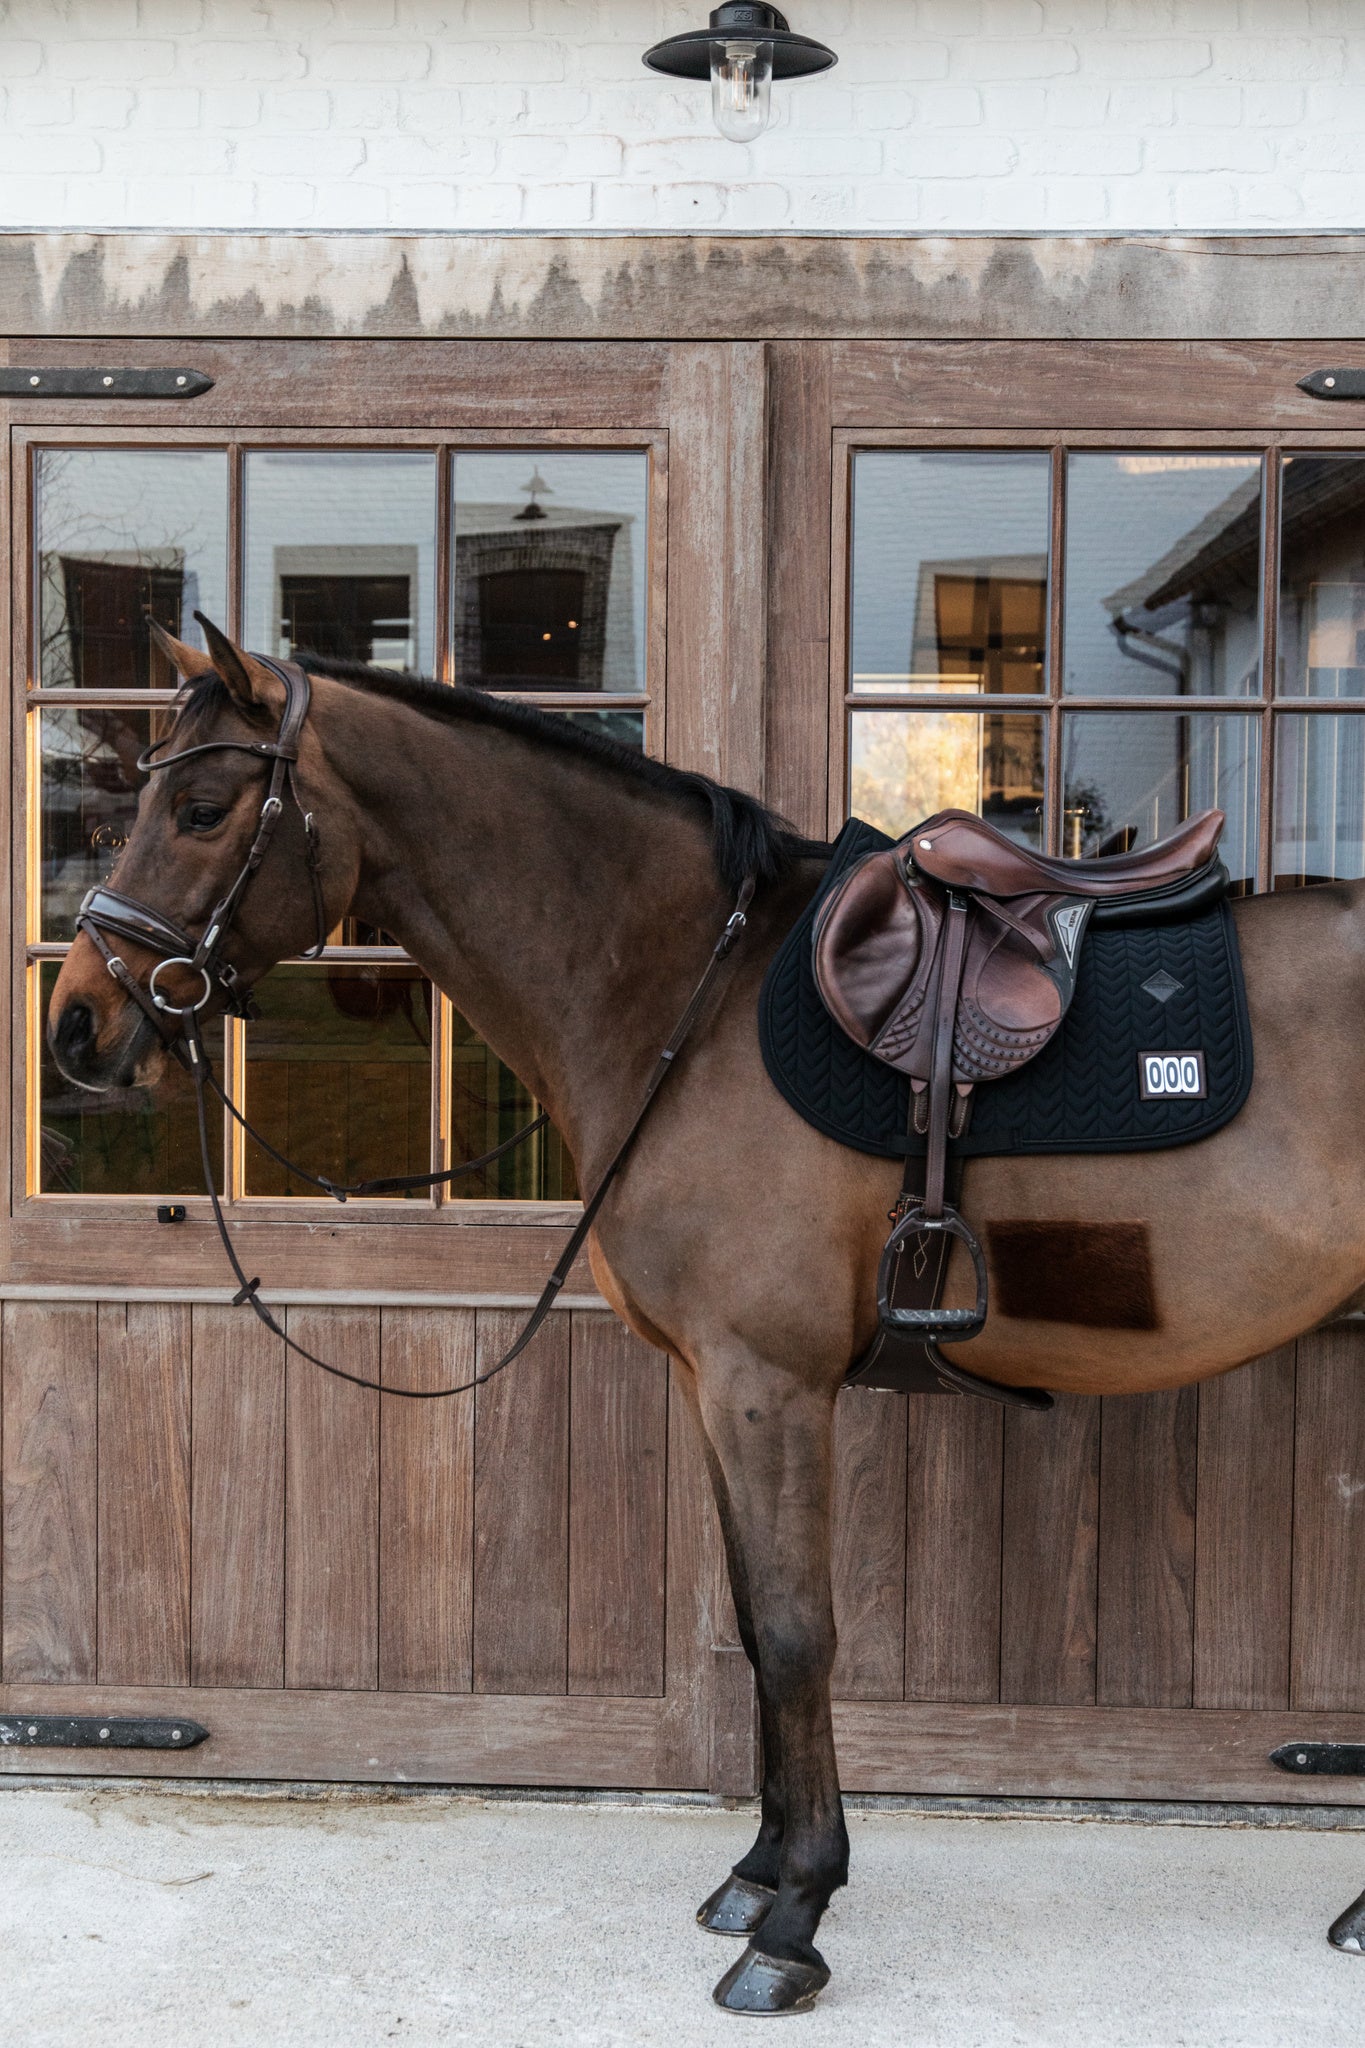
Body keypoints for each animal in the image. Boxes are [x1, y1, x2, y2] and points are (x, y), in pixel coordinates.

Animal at [48, 618, 1365, 2015]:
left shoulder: (765, 1381)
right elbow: (750, 1616)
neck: (690, 994)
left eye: (199, 809)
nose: (78, 1021)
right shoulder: (713, 1380)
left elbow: (794, 1635)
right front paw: (757, 1872)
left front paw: (792, 1921)